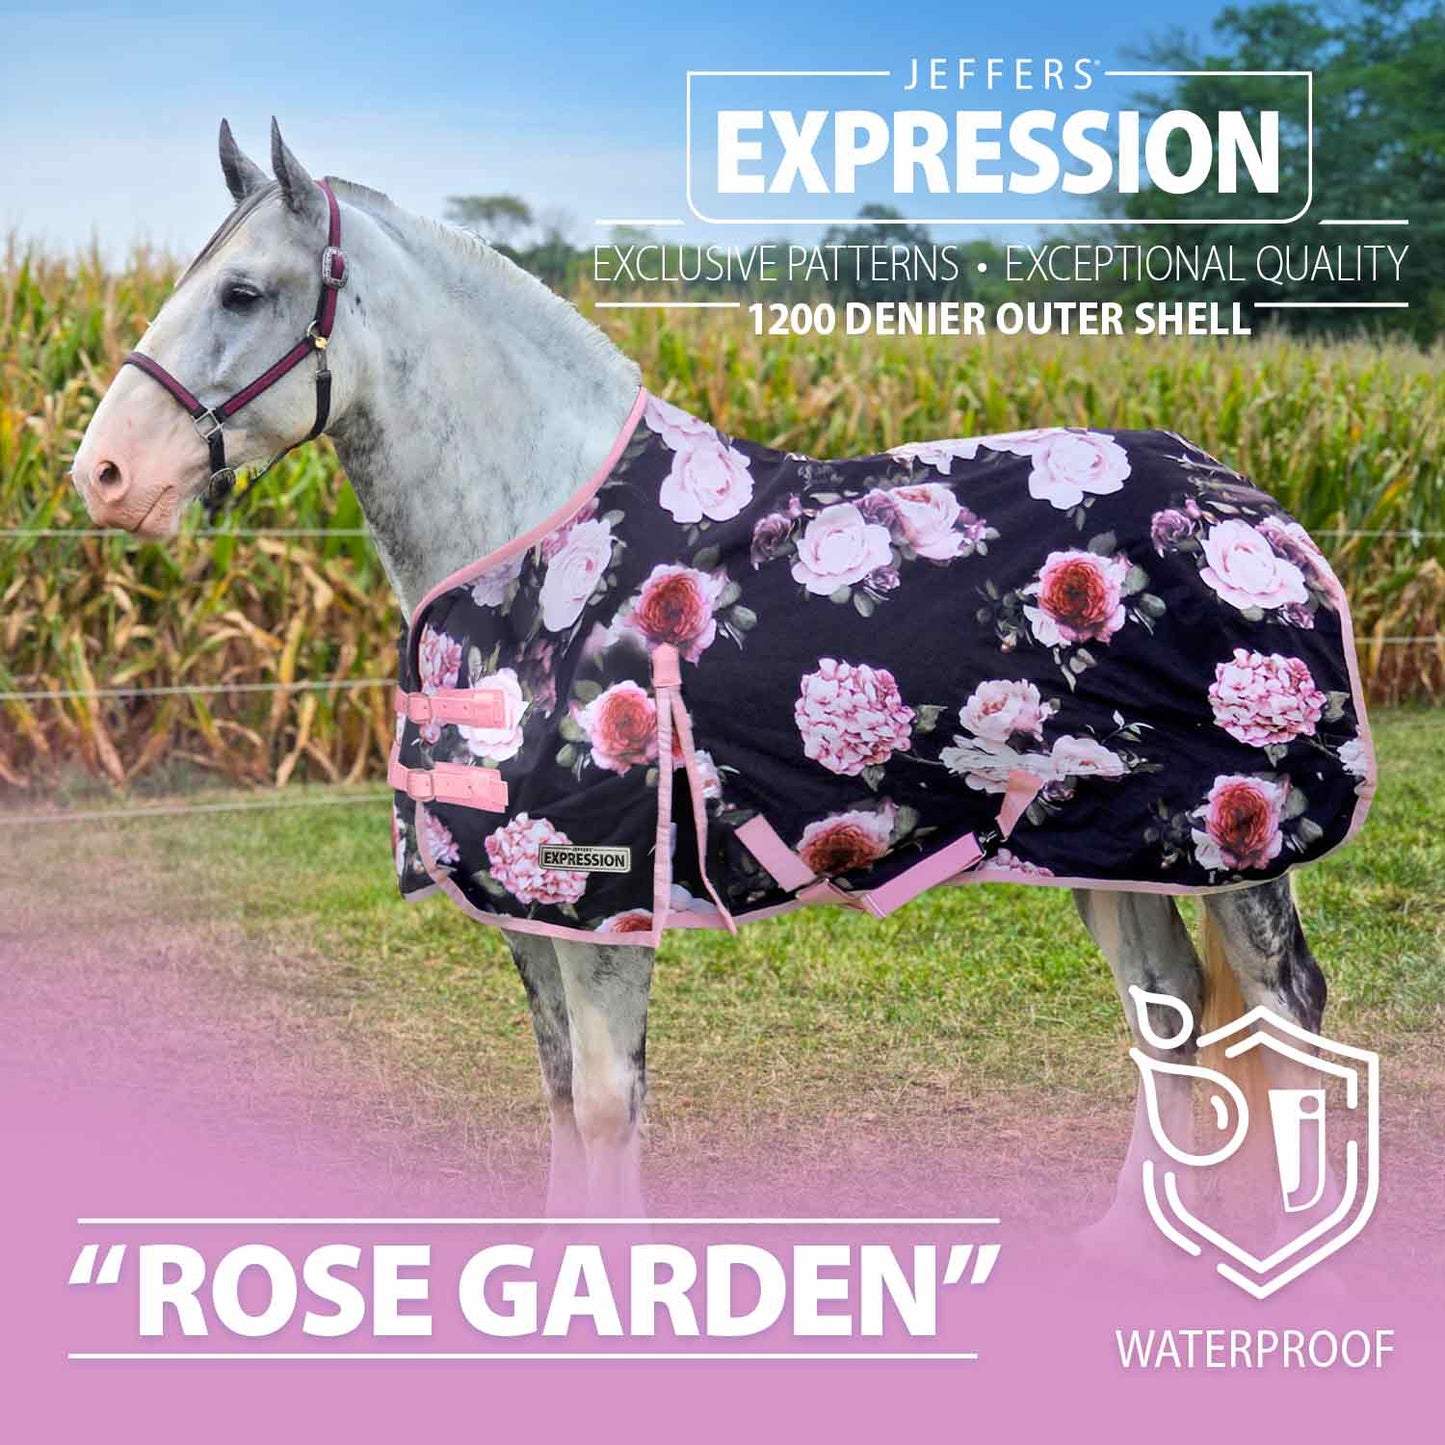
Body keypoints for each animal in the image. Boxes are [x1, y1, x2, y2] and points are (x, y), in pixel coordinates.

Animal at [72, 122, 1374, 1243]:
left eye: (243, 293)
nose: (102, 474)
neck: (544, 547)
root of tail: (1245, 501)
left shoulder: (601, 898)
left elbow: (607, 1103)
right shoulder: (530, 908)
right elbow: (561, 1092)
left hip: (1232, 839)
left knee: (1282, 1007)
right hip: (1109, 843)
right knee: (1165, 1011)